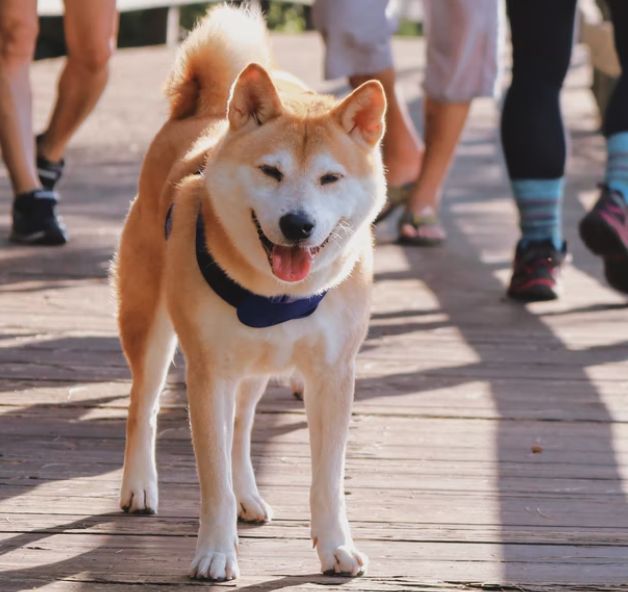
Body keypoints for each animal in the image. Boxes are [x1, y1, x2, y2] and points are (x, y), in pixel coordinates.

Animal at [113, 2, 388, 580]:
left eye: (329, 179)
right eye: (271, 171)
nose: (298, 224)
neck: (276, 294)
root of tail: (196, 114)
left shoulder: (333, 375)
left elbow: (327, 481)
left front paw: (335, 546)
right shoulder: (207, 375)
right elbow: (211, 478)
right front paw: (216, 552)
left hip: (256, 368)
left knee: (241, 431)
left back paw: (247, 495)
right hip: (152, 331)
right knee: (142, 406)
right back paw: (139, 485)